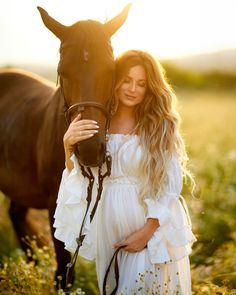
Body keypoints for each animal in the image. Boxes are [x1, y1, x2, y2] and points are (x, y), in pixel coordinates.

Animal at [0, 4, 131, 290]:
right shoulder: (54, 205)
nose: (89, 149)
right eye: (62, 71)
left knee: (17, 215)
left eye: (111, 70)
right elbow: (62, 269)